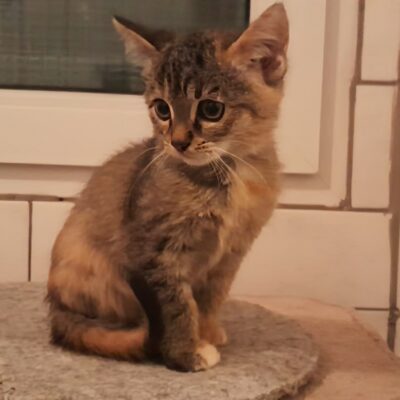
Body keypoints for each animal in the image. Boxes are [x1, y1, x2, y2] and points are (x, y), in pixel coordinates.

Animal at [47, 3, 289, 372]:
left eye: (211, 109)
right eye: (162, 109)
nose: (177, 142)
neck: (227, 177)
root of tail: (55, 309)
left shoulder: (229, 255)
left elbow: (210, 298)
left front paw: (207, 331)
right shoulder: (152, 254)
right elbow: (176, 307)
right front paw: (187, 353)